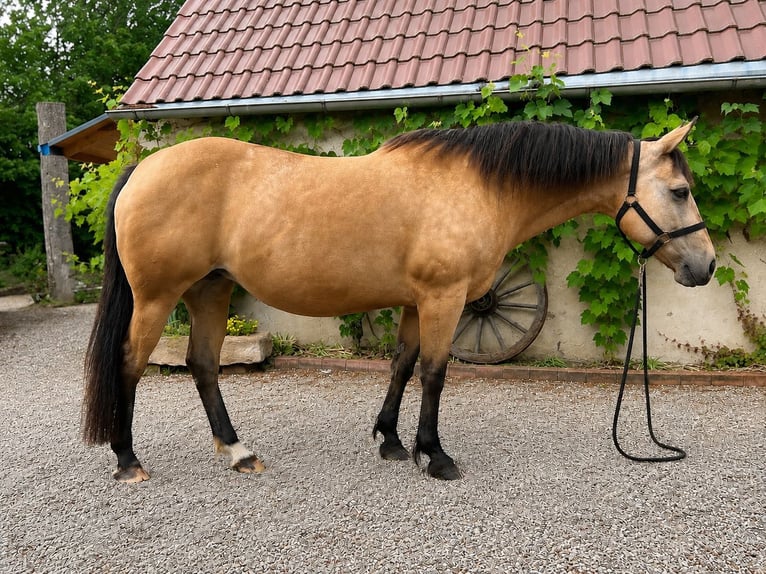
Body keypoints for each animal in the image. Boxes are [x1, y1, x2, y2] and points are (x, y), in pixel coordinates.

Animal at [82, 120, 716, 482]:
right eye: (680, 190)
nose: (704, 266)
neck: (478, 186)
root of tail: (143, 166)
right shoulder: (444, 298)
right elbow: (435, 373)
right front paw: (434, 456)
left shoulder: (418, 302)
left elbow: (403, 366)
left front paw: (390, 441)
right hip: (157, 298)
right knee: (130, 365)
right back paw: (128, 461)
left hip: (211, 290)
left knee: (204, 365)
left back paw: (238, 453)